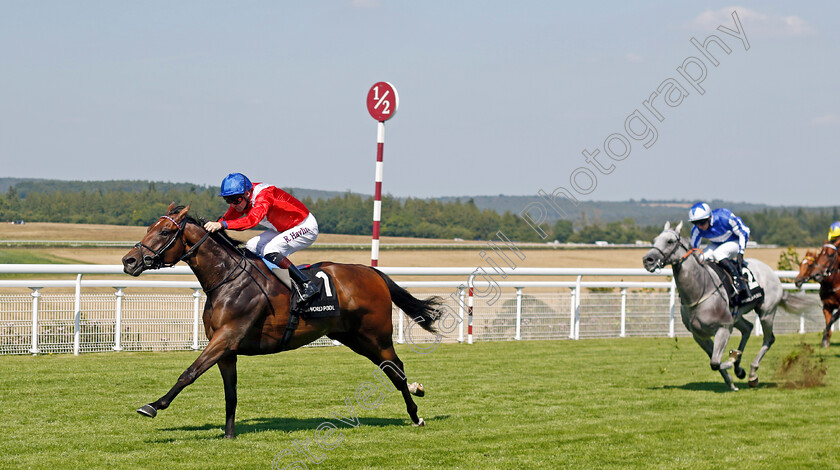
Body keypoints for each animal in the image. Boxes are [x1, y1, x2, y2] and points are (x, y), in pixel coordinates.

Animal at [123, 204, 446, 438]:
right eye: (149, 228)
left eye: (165, 231)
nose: (129, 261)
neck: (228, 279)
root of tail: (372, 272)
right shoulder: (226, 349)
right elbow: (231, 393)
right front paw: (228, 435)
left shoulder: (226, 337)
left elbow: (189, 373)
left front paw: (153, 406)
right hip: (354, 337)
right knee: (391, 369)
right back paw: (416, 393)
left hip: (376, 334)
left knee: (396, 369)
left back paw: (416, 414)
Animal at [644, 222, 812, 392]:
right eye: (654, 240)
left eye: (670, 241)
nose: (648, 260)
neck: (700, 289)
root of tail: (772, 273)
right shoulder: (699, 335)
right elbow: (714, 361)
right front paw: (732, 380)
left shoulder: (723, 328)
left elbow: (715, 362)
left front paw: (733, 360)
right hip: (736, 316)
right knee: (748, 328)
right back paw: (740, 368)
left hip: (766, 312)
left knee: (768, 339)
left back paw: (752, 374)